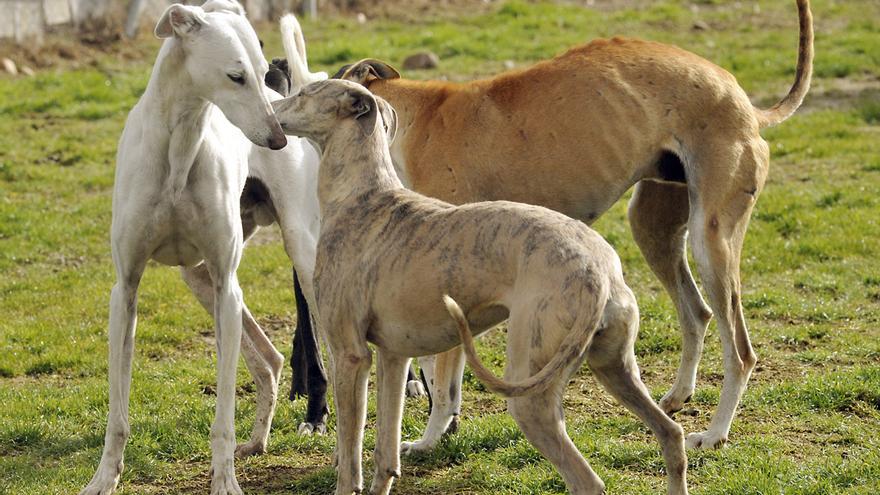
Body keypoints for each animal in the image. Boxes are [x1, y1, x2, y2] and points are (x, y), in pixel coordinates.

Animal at [272, 79, 692, 494]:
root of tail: (600, 269)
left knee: (588, 480)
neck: (362, 196)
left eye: (305, 94)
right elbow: (385, 454)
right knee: (671, 433)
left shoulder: (350, 354)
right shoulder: (394, 356)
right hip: (613, 366)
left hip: (531, 393)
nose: (270, 108)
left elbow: (349, 457)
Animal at [332, 0, 820, 452]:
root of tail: (747, 104)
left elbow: (444, 376)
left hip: (712, 240)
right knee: (696, 312)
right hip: (653, 227)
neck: (410, 121)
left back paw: (716, 432)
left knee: (740, 350)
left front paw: (430, 439)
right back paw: (678, 397)